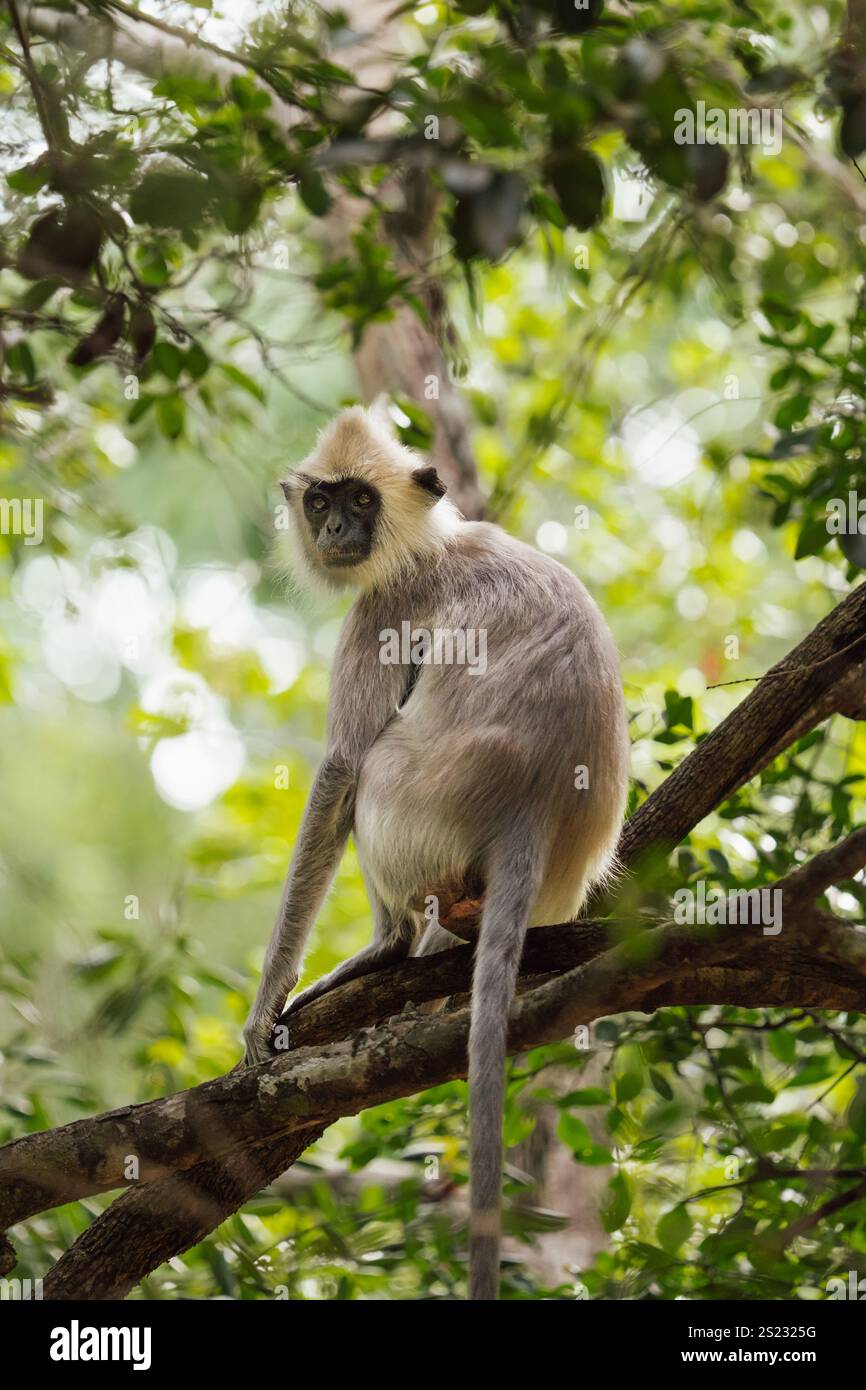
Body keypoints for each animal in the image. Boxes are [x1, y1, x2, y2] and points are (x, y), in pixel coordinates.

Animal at [242, 405, 629, 1300]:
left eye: (359, 498)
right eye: (320, 501)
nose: (337, 528)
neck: (431, 541)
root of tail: (532, 809)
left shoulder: (385, 605)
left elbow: (341, 766)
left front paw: (266, 1003)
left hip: (416, 806)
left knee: (374, 767)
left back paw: (387, 950)